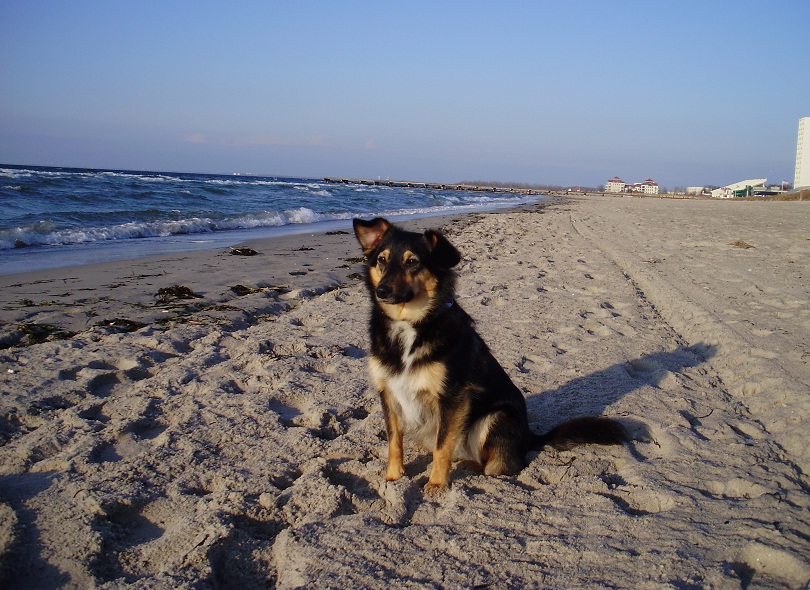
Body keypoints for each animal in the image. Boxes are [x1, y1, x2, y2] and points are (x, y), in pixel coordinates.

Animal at [352, 220, 624, 492]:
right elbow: (394, 441)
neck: (408, 324)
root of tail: (528, 435)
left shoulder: (452, 396)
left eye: (412, 262)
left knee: (501, 466)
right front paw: (392, 477)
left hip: (496, 416)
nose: (381, 291)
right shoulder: (388, 393)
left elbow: (442, 446)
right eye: (382, 260)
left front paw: (437, 484)